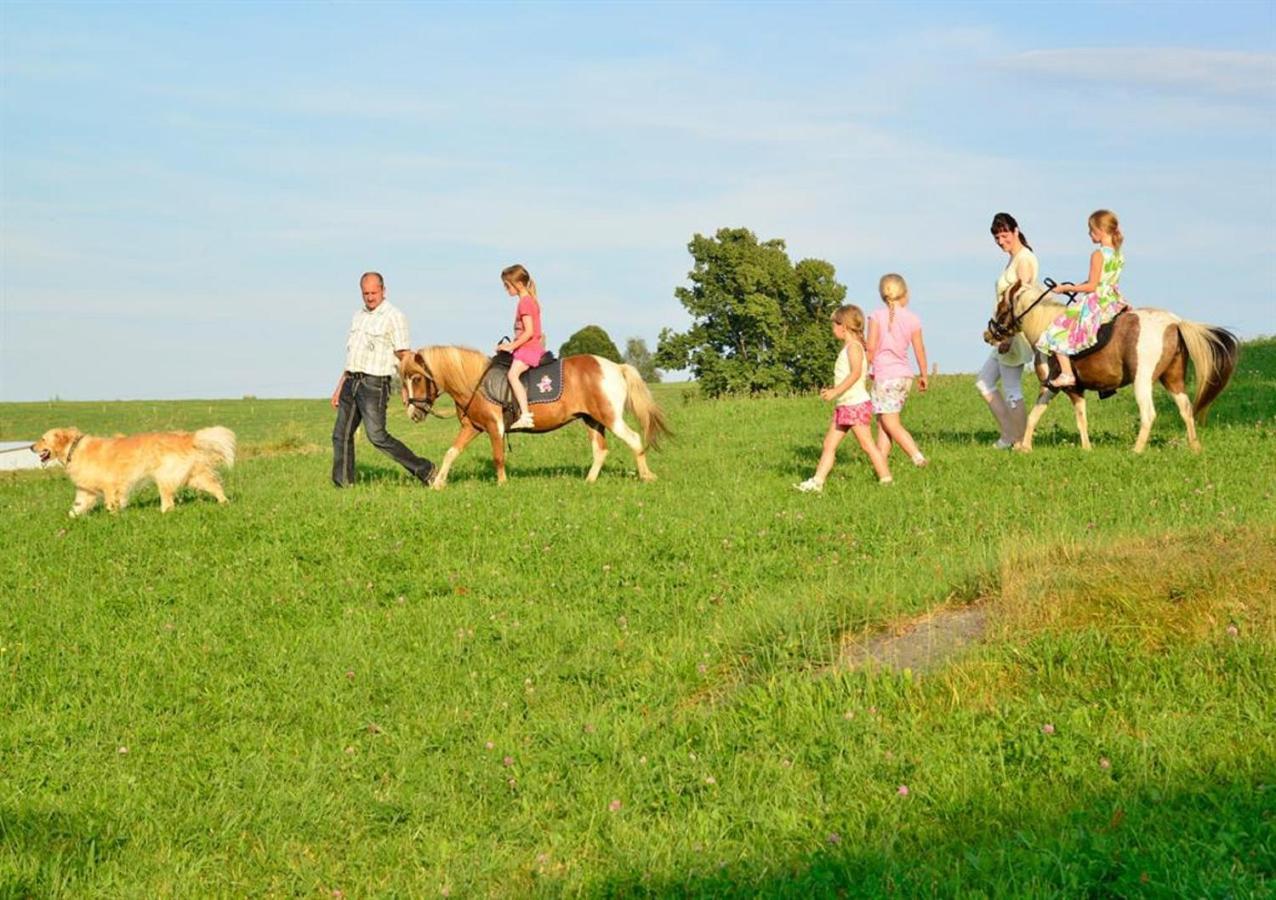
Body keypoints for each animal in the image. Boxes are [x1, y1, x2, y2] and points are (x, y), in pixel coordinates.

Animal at [32, 426, 236, 515]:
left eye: (43, 439)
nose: (31, 447)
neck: (74, 448)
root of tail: (187, 437)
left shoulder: (110, 484)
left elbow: (111, 503)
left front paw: (114, 515)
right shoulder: (86, 491)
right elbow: (77, 507)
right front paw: (70, 520)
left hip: (165, 476)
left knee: (168, 501)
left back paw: (162, 512)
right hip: (193, 476)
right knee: (215, 486)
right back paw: (224, 503)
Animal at [400, 344, 673, 487]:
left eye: (417, 378)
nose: (413, 413)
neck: (475, 382)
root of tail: (615, 367)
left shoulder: (494, 427)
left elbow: (498, 457)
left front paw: (502, 484)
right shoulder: (472, 427)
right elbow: (451, 452)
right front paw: (438, 483)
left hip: (610, 417)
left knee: (634, 439)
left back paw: (646, 476)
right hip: (592, 420)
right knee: (601, 451)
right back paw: (589, 481)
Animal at [985, 284, 1235, 451]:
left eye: (1001, 305)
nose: (989, 334)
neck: (1045, 327)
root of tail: (1174, 322)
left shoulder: (1060, 387)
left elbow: (1066, 417)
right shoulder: (1063, 389)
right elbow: (1047, 415)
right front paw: (1027, 447)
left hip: (1142, 381)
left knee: (1149, 413)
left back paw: (1136, 450)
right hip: (1172, 379)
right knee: (1186, 409)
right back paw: (1195, 447)